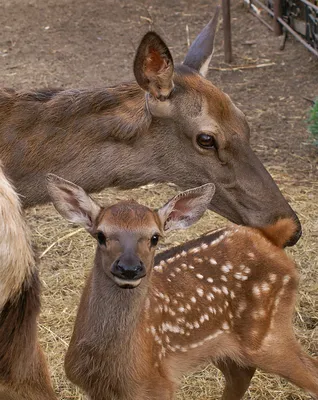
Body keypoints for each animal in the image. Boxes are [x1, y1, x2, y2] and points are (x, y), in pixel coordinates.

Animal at [46, 174, 316, 400]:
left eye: (155, 237)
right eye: (101, 235)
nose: (129, 268)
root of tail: (272, 238)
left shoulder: (159, 385)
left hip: (268, 333)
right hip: (224, 345)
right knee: (241, 375)